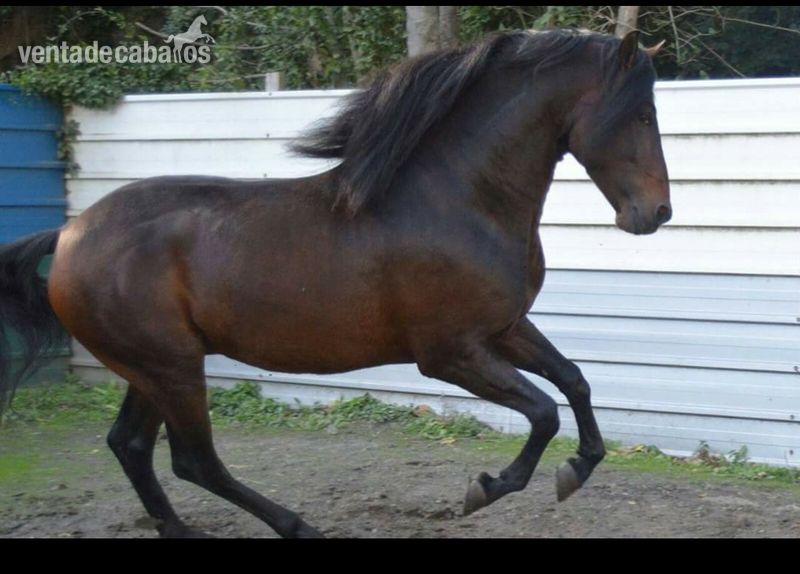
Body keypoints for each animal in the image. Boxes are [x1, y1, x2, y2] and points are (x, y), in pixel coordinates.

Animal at [0, 29, 671, 538]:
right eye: (642, 114)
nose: (656, 214)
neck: (458, 200)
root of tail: (67, 234)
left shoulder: (502, 330)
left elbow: (574, 382)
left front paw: (578, 468)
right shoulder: (449, 354)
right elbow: (542, 410)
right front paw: (487, 487)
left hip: (153, 368)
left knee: (131, 446)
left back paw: (186, 531)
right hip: (170, 369)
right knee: (193, 461)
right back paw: (297, 526)